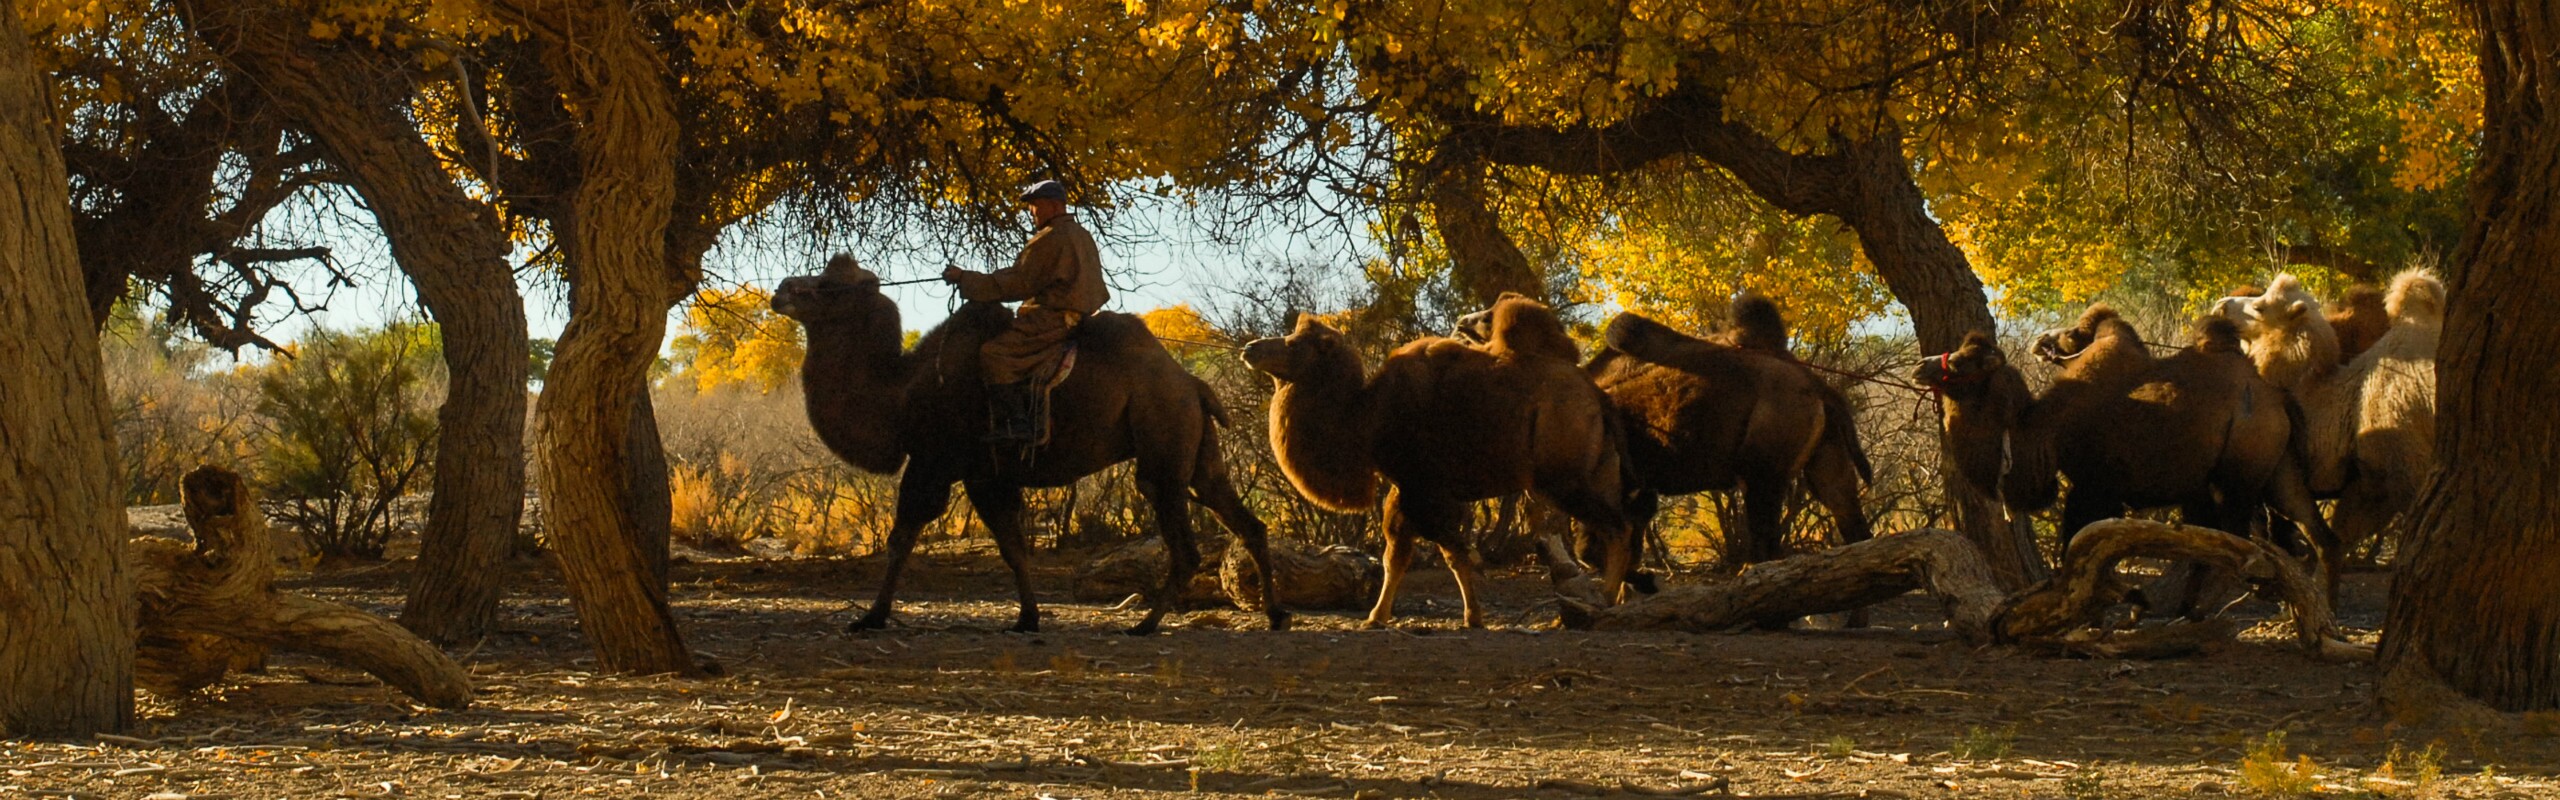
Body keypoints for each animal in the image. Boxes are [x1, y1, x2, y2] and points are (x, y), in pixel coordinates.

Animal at [757, 252, 1280, 633]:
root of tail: (1193, 384)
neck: (901, 391)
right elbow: (1013, 545)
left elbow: (903, 537)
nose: (781, 290)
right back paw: (1276, 616)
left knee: (1183, 539)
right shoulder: (989, 474)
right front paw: (1027, 618)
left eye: (827, 286)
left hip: (1162, 448)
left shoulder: (935, 462)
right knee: (1243, 518)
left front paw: (871, 617)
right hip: (1198, 451)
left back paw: (1146, 625)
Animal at [1244, 297, 1638, 628]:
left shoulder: (1424, 489)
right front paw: (1379, 617)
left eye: (1294, 342)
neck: (1367, 417)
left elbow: (1449, 553)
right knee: (1618, 528)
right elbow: (1398, 556)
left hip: (1563, 479)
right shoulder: (1406, 489)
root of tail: (1597, 396)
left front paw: (1470, 617)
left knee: (1618, 527)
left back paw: (1602, 601)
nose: (1251, 348)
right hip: (1599, 471)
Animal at [1925, 306, 2344, 582]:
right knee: (2313, 531)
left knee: (2238, 533)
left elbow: (2076, 543)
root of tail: (2278, 397)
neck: (2044, 430)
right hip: (2276, 469)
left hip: (2239, 473)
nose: (1922, 366)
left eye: (1964, 362)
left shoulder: (2095, 486)